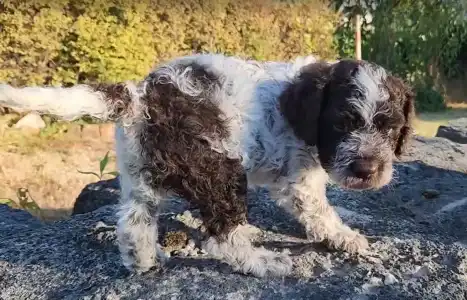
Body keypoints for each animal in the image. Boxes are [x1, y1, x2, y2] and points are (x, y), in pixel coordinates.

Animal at [0, 53, 416, 276]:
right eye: (341, 124)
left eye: (391, 128)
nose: (366, 171)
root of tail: (140, 98)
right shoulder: (299, 179)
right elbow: (320, 212)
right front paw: (345, 237)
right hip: (219, 169)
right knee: (220, 237)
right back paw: (263, 261)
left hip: (139, 170)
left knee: (134, 221)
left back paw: (144, 261)